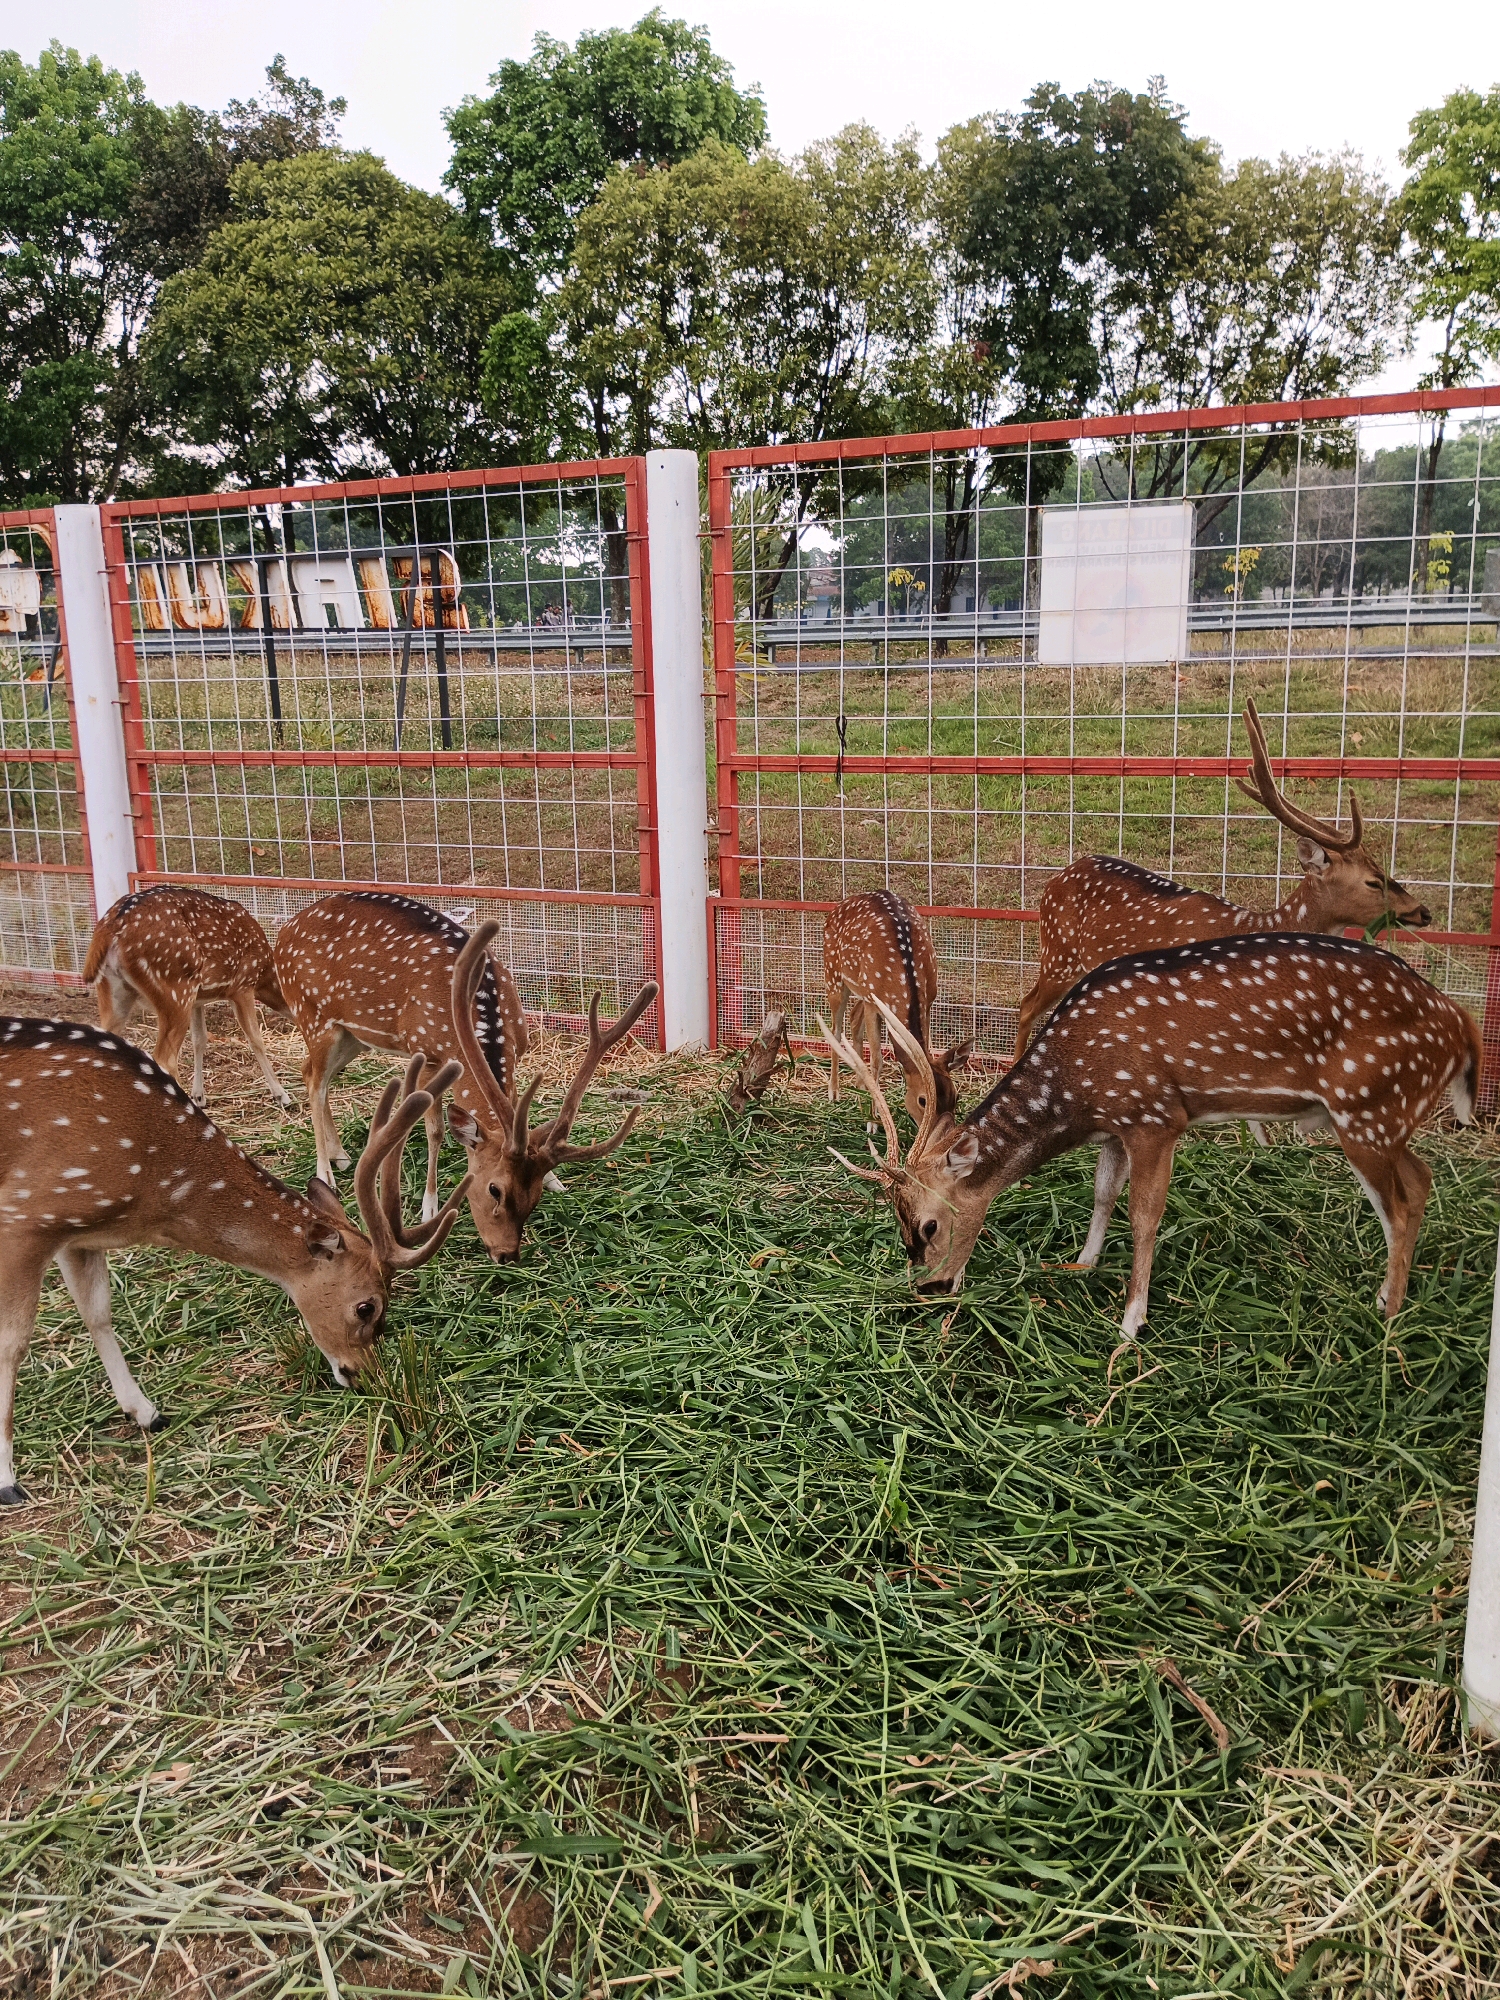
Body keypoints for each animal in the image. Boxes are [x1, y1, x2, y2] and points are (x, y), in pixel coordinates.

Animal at [0, 1015, 470, 1506]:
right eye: (366, 1306)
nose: (362, 1376)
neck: (152, 1182)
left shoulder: (79, 1233)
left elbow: (98, 1314)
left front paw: (146, 1412)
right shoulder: (28, 1214)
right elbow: (12, 1342)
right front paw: (7, 1479)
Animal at [83, 886, 293, 1112]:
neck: (266, 975)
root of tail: (109, 929)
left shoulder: (198, 1000)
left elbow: (199, 1040)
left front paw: (199, 1096)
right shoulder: (242, 984)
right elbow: (255, 1038)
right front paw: (282, 1095)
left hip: (114, 990)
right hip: (174, 987)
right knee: (165, 1058)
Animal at [273, 891, 658, 1260]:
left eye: (533, 1199)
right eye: (494, 1189)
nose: (506, 1254)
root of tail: (284, 929)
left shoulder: (518, 1051)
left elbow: (515, 1111)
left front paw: (554, 1180)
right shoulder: (426, 1052)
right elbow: (435, 1131)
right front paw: (429, 1208)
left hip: (352, 1034)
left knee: (311, 1074)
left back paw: (340, 1154)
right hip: (312, 1016)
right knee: (314, 1081)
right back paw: (325, 1173)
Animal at [822, 931, 1480, 1366]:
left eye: (929, 1225)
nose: (927, 1289)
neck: (1078, 1088)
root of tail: (1463, 1026)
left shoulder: (1156, 1115)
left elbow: (1144, 1216)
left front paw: (1130, 1323)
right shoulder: (1117, 1124)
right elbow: (1102, 1192)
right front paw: (1077, 1263)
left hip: (1369, 1105)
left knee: (1402, 1202)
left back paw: (1387, 1319)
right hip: (1385, 1116)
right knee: (1421, 1180)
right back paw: (1386, 1297)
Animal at [824, 889, 974, 1122]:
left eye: (956, 1096)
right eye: (923, 1100)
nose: (942, 1128)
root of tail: (837, 908)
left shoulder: (929, 999)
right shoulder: (872, 1001)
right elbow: (877, 1061)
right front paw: (873, 1121)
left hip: (858, 986)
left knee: (854, 1018)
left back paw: (859, 1090)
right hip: (833, 974)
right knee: (835, 1029)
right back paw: (834, 1092)